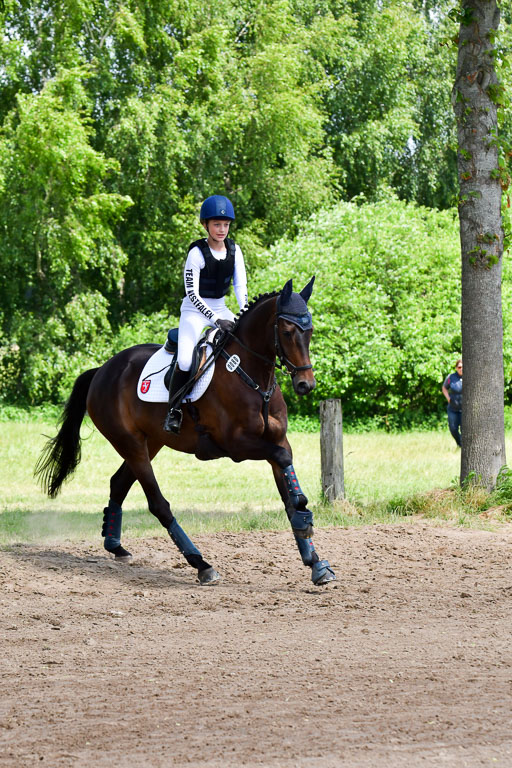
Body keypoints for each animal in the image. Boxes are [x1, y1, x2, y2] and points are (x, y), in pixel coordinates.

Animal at [35, 277, 336, 586]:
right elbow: (286, 469)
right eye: (287, 332)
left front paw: (314, 560)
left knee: (118, 483)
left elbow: (288, 490)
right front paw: (304, 518)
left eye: (310, 330)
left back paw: (115, 546)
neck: (252, 378)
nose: (305, 385)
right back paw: (201, 564)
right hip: (130, 444)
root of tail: (102, 370)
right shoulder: (237, 445)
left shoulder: (278, 441)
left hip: (151, 443)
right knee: (158, 504)